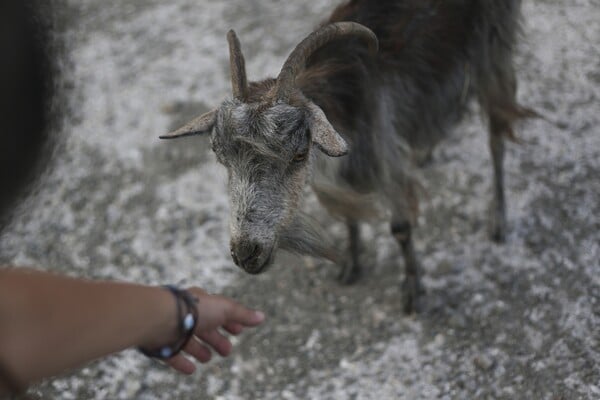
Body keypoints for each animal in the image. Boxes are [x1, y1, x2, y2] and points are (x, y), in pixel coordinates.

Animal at [159, 0, 536, 312]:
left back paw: (498, 220)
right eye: (221, 157)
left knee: (497, 136)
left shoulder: (385, 157)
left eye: (299, 154)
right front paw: (352, 264)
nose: (245, 253)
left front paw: (412, 291)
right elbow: (348, 215)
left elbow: (400, 228)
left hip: (492, 51)